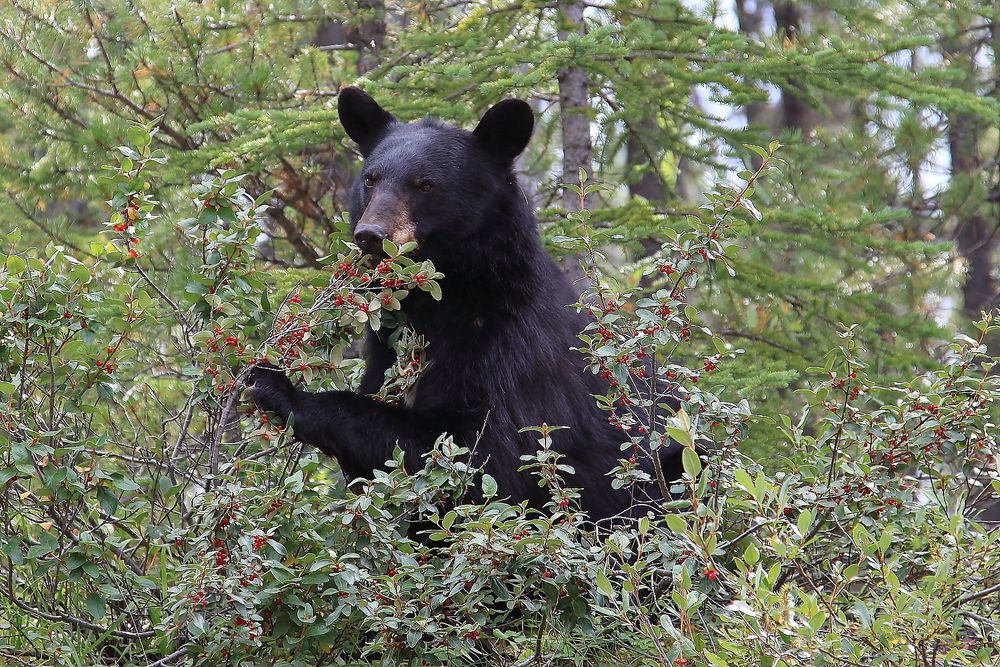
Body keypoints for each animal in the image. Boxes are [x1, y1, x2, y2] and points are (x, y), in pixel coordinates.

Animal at [250, 86, 684, 520]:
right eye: (370, 180)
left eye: (425, 184)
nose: (370, 234)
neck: (451, 298)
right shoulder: (386, 351)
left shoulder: (510, 351)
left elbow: (480, 455)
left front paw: (280, 387)